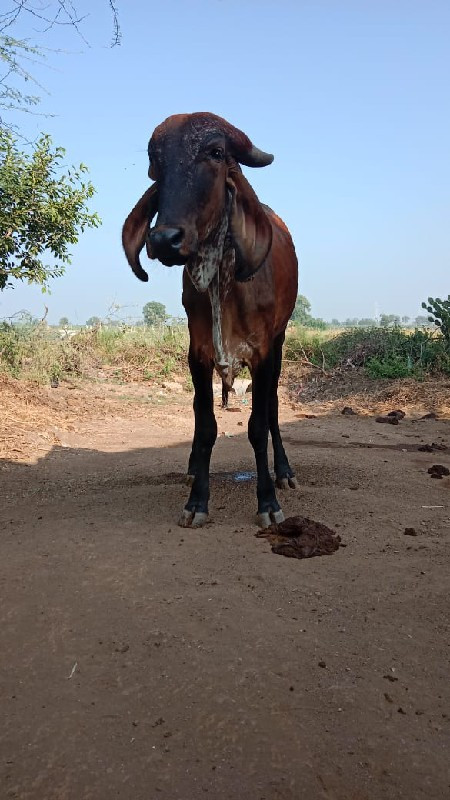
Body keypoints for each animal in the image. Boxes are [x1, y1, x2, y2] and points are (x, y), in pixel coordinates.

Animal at [122, 111, 298, 524]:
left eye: (216, 153)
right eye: (157, 162)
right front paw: (197, 501)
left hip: (280, 342)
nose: (164, 239)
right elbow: (205, 427)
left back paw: (283, 470)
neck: (223, 279)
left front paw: (268, 502)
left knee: (272, 407)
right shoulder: (197, 354)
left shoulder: (264, 353)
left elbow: (258, 425)